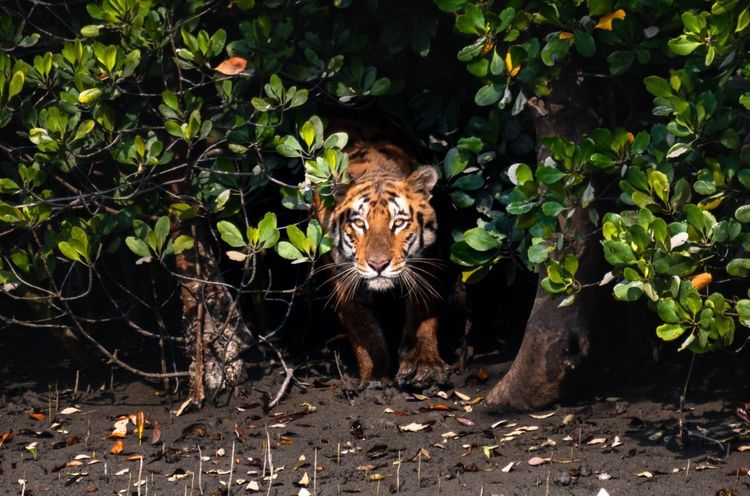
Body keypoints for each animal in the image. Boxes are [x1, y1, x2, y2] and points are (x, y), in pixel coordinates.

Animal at [314, 136, 449, 389]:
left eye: (398, 222)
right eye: (359, 223)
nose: (378, 265)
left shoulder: (426, 264)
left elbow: (422, 313)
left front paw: (424, 365)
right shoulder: (344, 281)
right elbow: (364, 329)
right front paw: (375, 378)